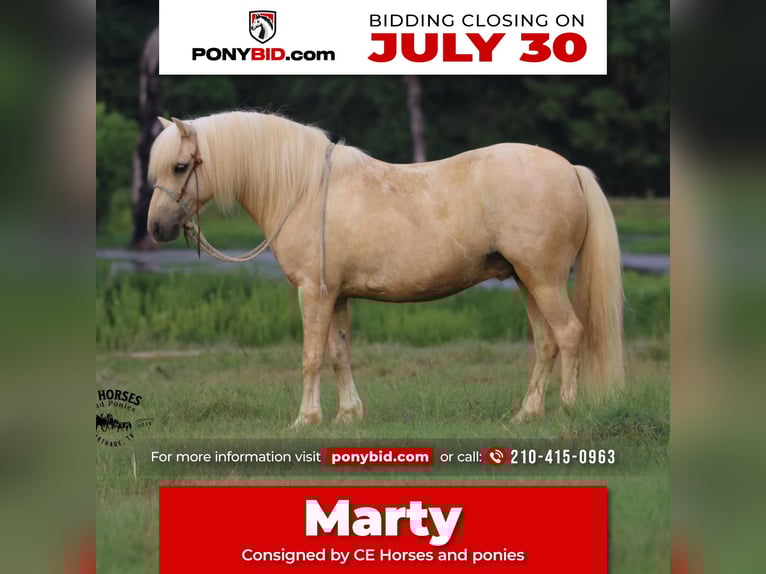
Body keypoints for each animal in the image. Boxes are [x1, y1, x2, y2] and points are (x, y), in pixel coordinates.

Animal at [147, 111, 624, 428]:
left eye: (180, 166)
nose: (155, 227)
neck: (303, 190)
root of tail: (570, 169)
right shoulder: (336, 295)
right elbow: (339, 354)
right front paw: (347, 415)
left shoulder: (313, 293)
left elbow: (311, 356)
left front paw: (306, 420)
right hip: (528, 281)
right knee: (546, 342)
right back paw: (528, 413)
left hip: (544, 280)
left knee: (569, 334)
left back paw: (566, 409)